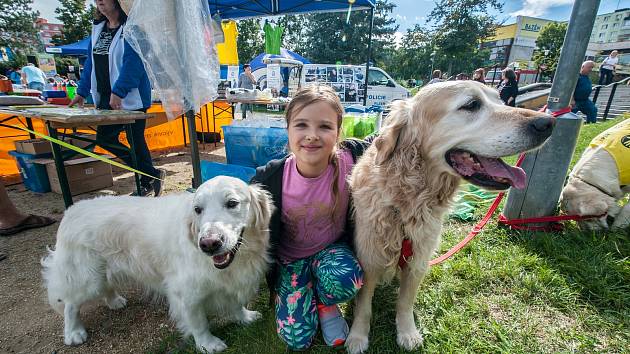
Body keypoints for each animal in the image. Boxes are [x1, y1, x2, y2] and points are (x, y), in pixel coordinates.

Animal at [42, 176, 274, 352]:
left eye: (232, 203)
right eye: (198, 209)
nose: (208, 244)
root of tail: (71, 210)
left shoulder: (233, 282)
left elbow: (236, 304)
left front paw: (245, 317)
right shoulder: (185, 293)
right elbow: (199, 322)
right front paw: (208, 344)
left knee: (106, 287)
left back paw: (115, 301)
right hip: (87, 279)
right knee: (70, 305)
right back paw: (73, 332)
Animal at [348, 81, 556, 352]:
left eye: (500, 100)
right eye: (471, 104)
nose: (548, 123)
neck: (407, 201)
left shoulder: (418, 259)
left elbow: (405, 302)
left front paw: (407, 332)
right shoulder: (369, 256)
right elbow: (364, 304)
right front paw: (357, 337)